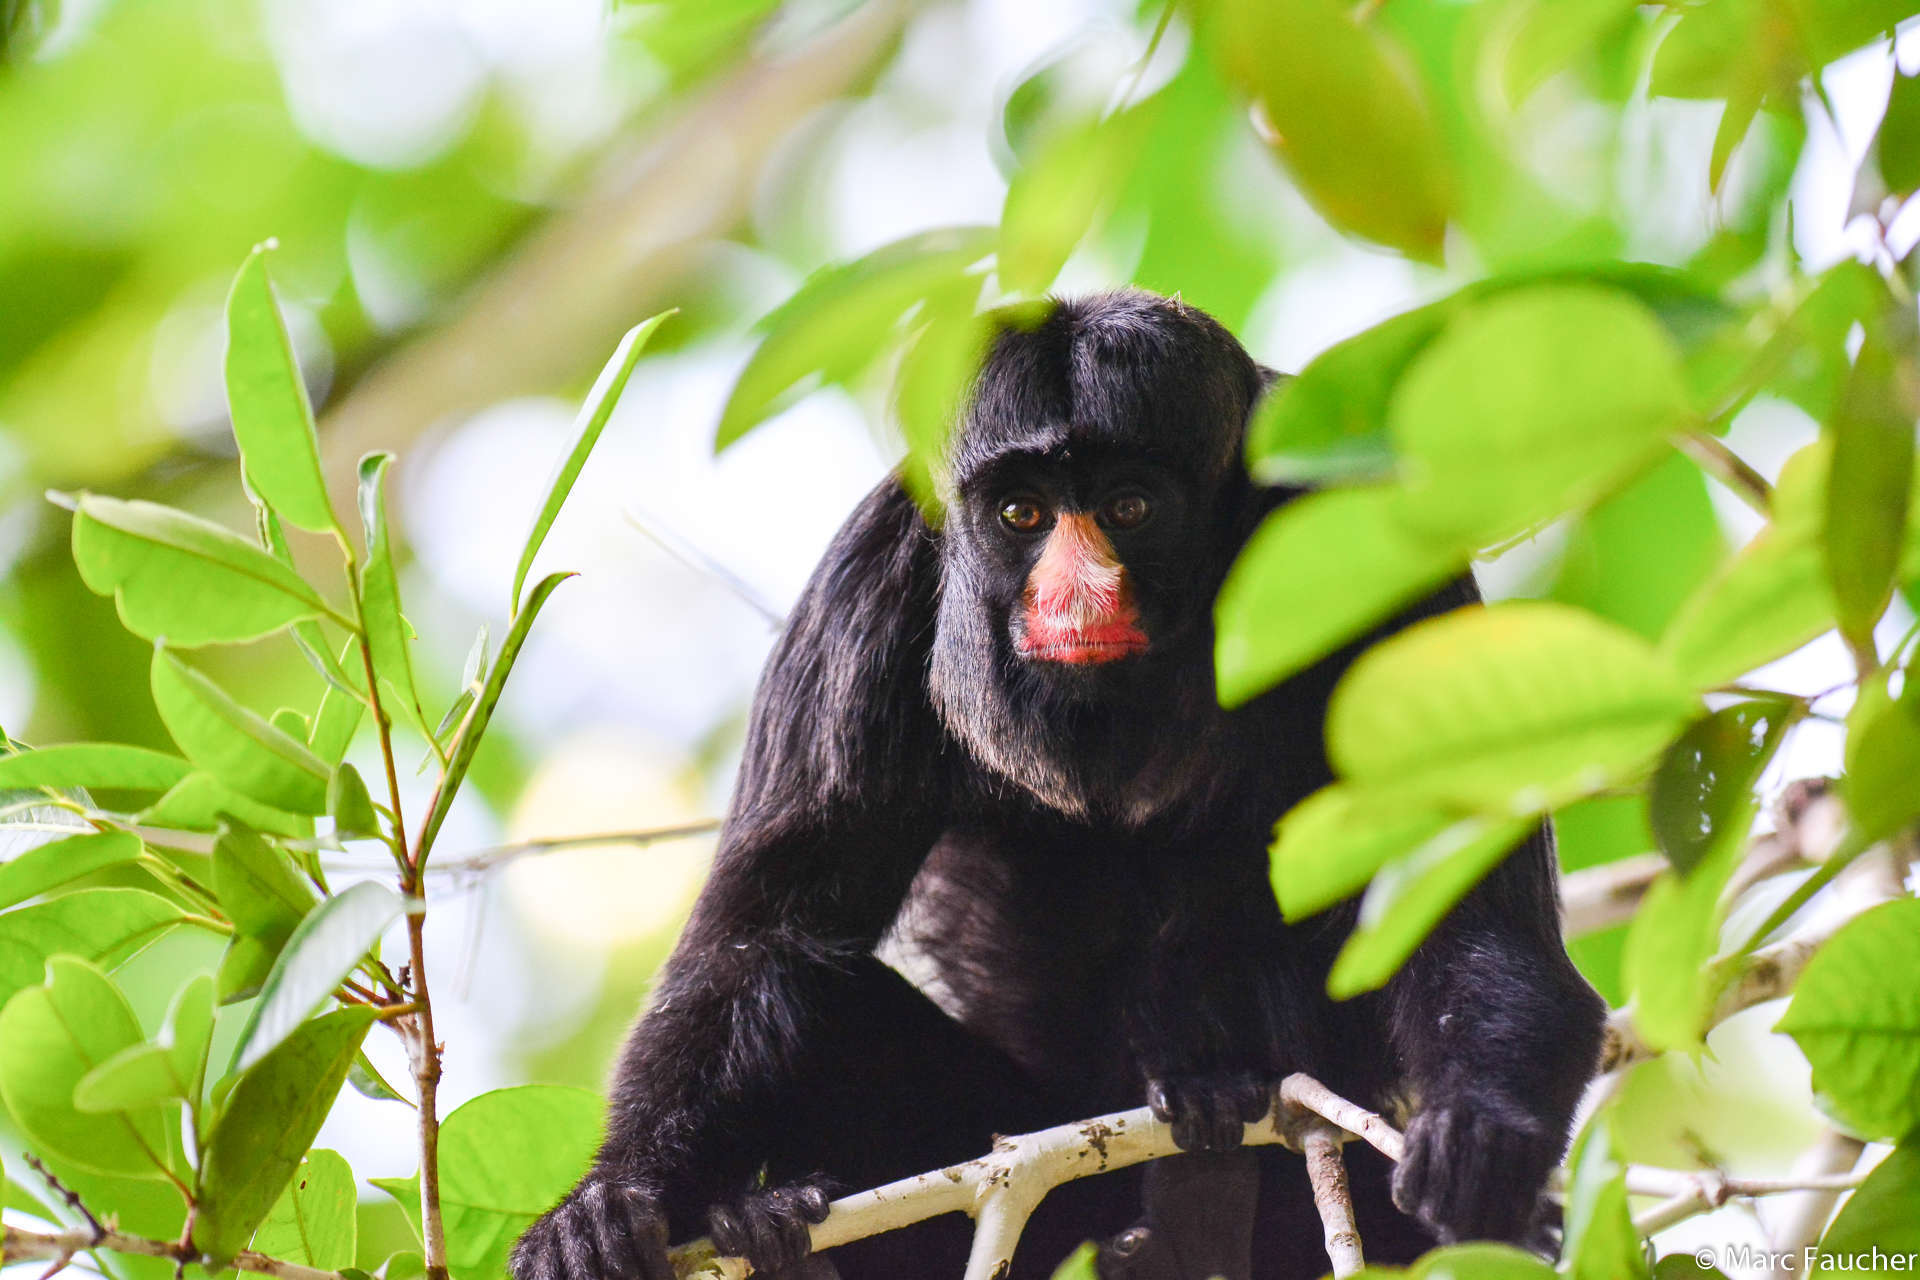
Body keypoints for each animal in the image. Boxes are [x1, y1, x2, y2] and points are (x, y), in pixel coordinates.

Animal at [510, 289, 1605, 1280]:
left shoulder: (1374, 554)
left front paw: (1484, 1124)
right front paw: (607, 1199)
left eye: (1130, 506)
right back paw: (772, 1231)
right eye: (1021, 513)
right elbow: (761, 936)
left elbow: (1469, 902)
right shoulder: (869, 579)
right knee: (803, 982)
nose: (1076, 592)